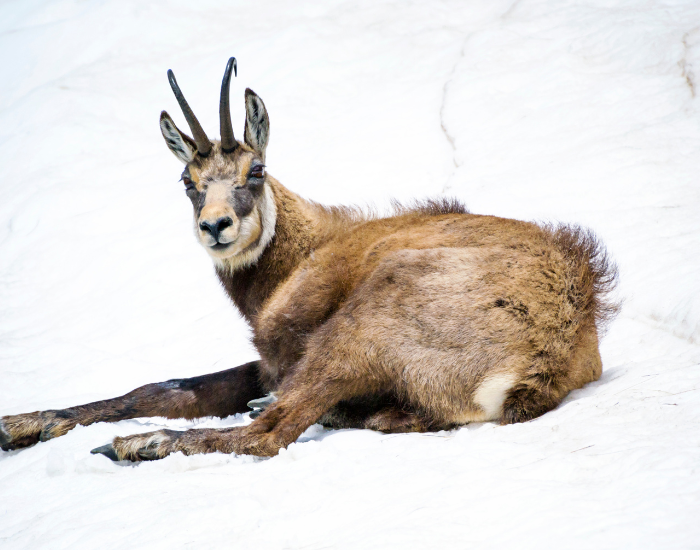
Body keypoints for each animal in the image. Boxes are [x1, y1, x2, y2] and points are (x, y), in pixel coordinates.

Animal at [0, 58, 619, 460]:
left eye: (255, 170)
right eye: (188, 182)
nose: (215, 227)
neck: (300, 254)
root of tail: (544, 357)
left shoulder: (284, 353)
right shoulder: (267, 361)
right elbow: (163, 388)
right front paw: (22, 424)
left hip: (364, 325)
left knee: (269, 434)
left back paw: (141, 443)